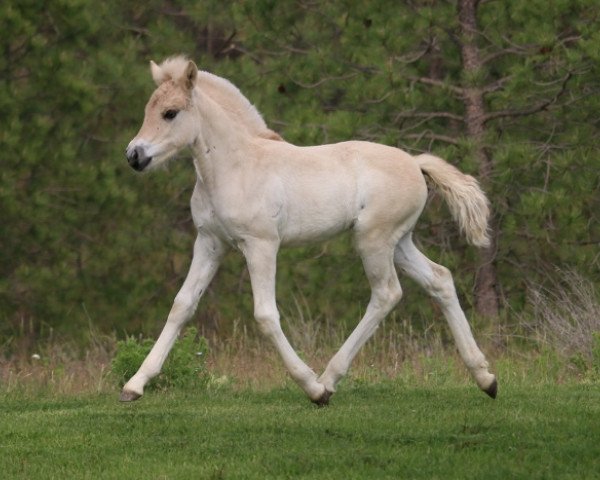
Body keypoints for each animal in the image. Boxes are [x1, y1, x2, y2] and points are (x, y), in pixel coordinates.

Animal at [122, 57, 496, 404]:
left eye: (170, 113)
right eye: (147, 110)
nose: (134, 156)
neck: (237, 165)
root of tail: (416, 164)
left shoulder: (260, 245)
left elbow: (265, 314)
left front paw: (311, 388)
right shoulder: (210, 242)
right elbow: (182, 305)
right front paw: (134, 385)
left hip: (373, 240)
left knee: (387, 293)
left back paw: (328, 380)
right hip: (399, 241)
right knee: (440, 279)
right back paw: (486, 378)